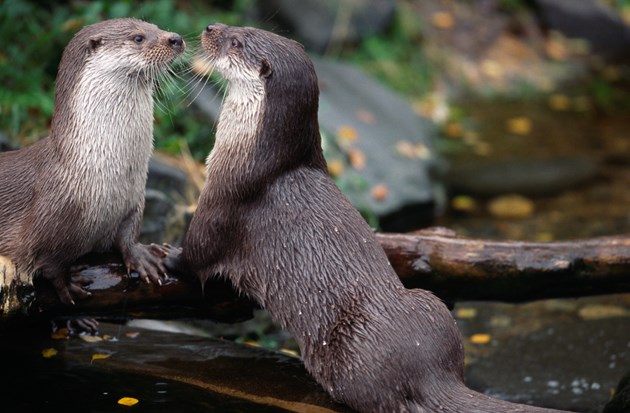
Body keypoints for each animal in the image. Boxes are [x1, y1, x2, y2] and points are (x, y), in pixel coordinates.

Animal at [0, 17, 186, 304]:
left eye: (157, 28)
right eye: (138, 38)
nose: (176, 38)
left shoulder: (133, 200)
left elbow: (128, 235)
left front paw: (143, 255)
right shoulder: (47, 216)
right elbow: (47, 260)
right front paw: (67, 283)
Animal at [165, 24, 576, 410]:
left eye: (237, 41)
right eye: (247, 29)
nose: (211, 28)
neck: (251, 153)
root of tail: (429, 370)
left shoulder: (225, 199)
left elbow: (198, 252)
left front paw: (164, 257)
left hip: (347, 354)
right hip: (430, 304)